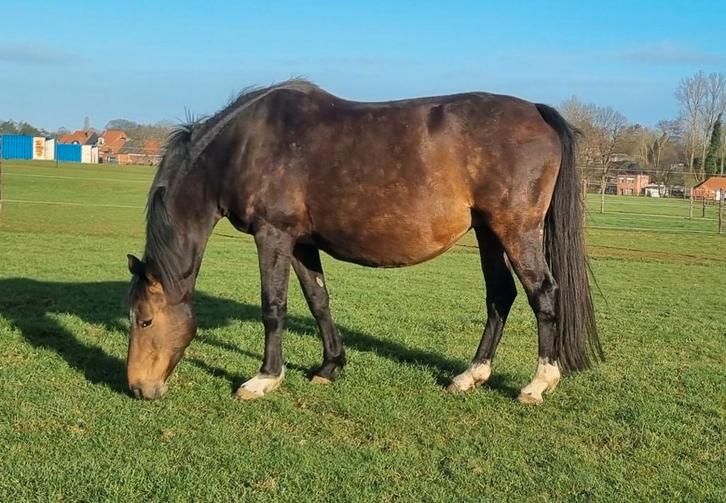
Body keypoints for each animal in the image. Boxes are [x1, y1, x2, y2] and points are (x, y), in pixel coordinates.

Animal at [126, 79, 602, 405]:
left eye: (145, 320)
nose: (137, 387)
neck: (244, 145)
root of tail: (537, 111)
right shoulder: (301, 242)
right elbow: (318, 300)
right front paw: (330, 365)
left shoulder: (273, 235)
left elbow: (273, 307)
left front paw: (264, 378)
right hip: (488, 233)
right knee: (500, 295)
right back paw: (471, 375)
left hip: (516, 230)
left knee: (543, 293)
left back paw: (538, 383)